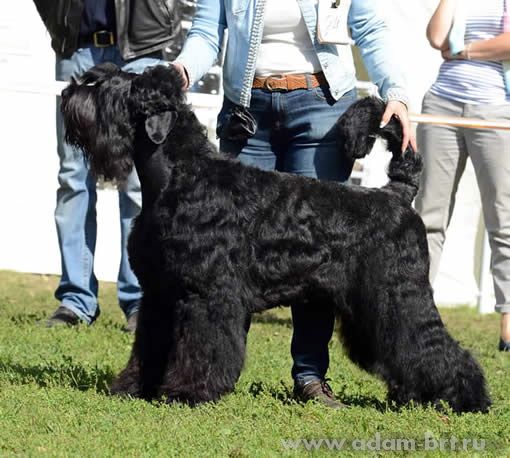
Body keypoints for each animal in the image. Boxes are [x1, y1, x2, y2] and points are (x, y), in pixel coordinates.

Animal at [61, 63, 490, 413]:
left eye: (105, 89)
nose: (68, 94)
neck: (181, 177)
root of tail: (397, 193)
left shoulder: (206, 295)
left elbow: (201, 347)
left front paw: (187, 392)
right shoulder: (160, 294)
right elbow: (149, 345)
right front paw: (134, 387)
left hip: (399, 295)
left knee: (431, 343)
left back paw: (467, 397)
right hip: (367, 308)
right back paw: (415, 396)